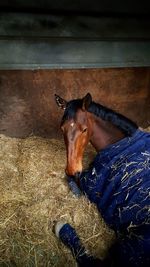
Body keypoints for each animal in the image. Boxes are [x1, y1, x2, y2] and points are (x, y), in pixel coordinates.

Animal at [54, 93, 150, 266]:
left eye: (84, 129)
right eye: (62, 128)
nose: (71, 168)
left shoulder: (90, 182)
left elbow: (72, 180)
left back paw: (61, 227)